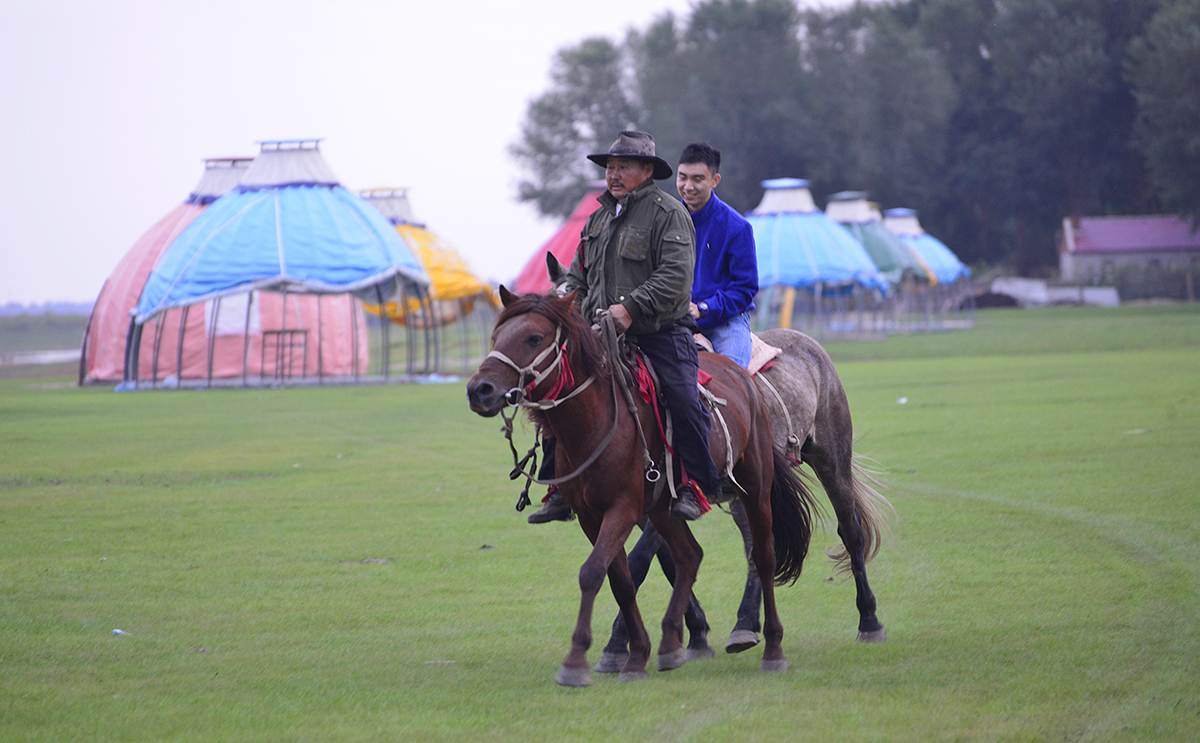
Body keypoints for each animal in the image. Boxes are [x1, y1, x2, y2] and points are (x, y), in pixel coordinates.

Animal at [463, 288, 820, 686]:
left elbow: (593, 572)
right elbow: (619, 578)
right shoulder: (593, 515)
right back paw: (669, 644)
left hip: (755, 491)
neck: (597, 420)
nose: (480, 390)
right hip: (663, 510)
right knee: (689, 555)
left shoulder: (623, 507)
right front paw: (635, 656)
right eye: (496, 337)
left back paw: (772, 647)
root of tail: (745, 379)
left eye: (534, 338)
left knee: (763, 555)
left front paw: (577, 659)